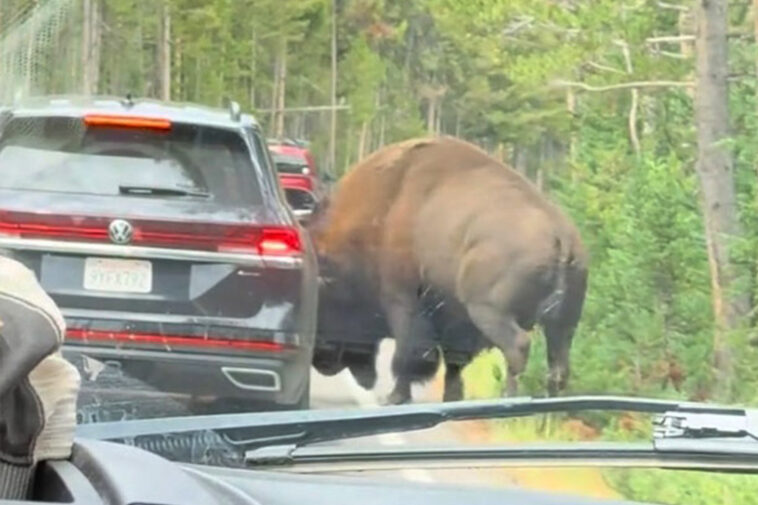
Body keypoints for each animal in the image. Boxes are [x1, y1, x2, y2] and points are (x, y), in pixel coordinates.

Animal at [309, 136, 588, 404]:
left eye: (327, 301)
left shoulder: (402, 301)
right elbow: (454, 362)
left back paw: (509, 397)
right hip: (564, 323)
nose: (320, 361)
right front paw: (452, 397)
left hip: (489, 310)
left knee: (518, 346)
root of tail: (560, 234)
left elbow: (409, 353)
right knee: (559, 365)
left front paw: (396, 397)